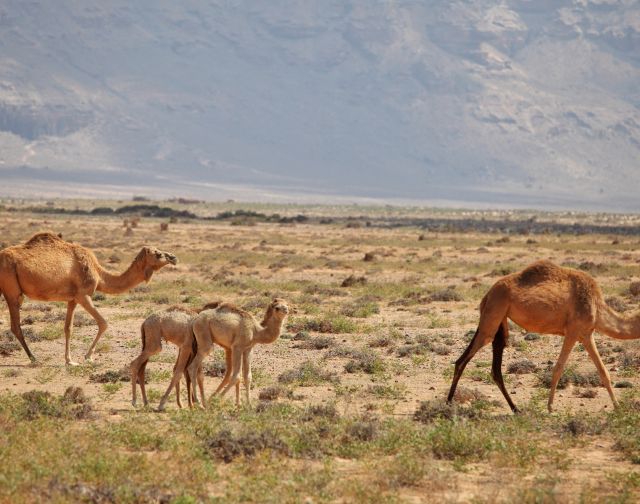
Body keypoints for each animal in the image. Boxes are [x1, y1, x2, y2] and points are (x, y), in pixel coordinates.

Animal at [0, 230, 178, 364]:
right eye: (158, 254)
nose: (173, 257)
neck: (99, 274)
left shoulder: (72, 299)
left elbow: (68, 328)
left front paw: (69, 360)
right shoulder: (83, 295)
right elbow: (103, 323)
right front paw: (88, 356)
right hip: (12, 292)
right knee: (15, 326)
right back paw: (33, 357)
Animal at [444, 260, 640, 414]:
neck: (598, 307)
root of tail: (487, 294)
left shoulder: (586, 333)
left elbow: (603, 371)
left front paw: (617, 407)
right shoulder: (574, 330)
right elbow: (559, 368)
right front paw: (550, 407)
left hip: (499, 319)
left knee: (495, 366)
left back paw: (516, 408)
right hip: (493, 313)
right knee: (463, 360)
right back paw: (448, 404)